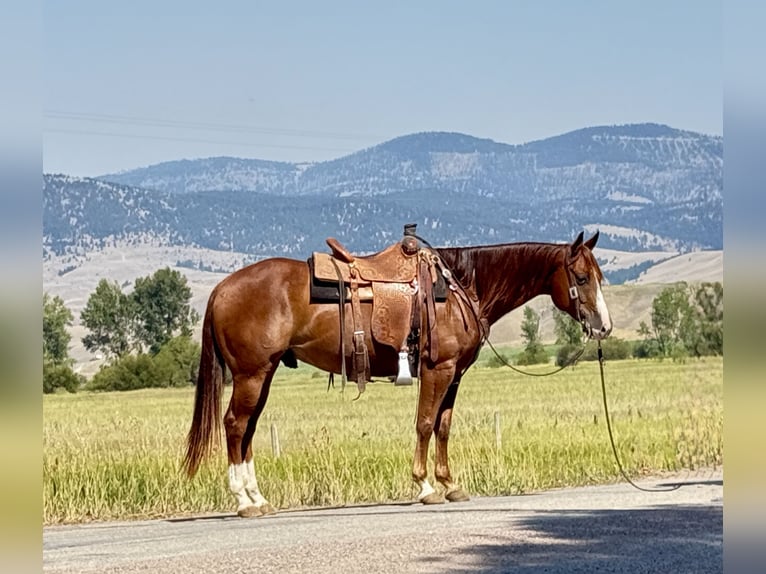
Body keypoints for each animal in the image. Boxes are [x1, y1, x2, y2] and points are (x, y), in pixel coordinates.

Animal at [183, 230, 612, 517]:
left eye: (599, 276)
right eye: (581, 278)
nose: (604, 326)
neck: (460, 287)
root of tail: (221, 288)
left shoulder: (455, 374)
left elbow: (443, 426)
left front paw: (450, 484)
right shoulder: (438, 369)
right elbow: (423, 423)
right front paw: (424, 486)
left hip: (263, 374)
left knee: (249, 428)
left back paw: (258, 498)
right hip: (252, 374)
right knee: (235, 424)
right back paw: (243, 501)